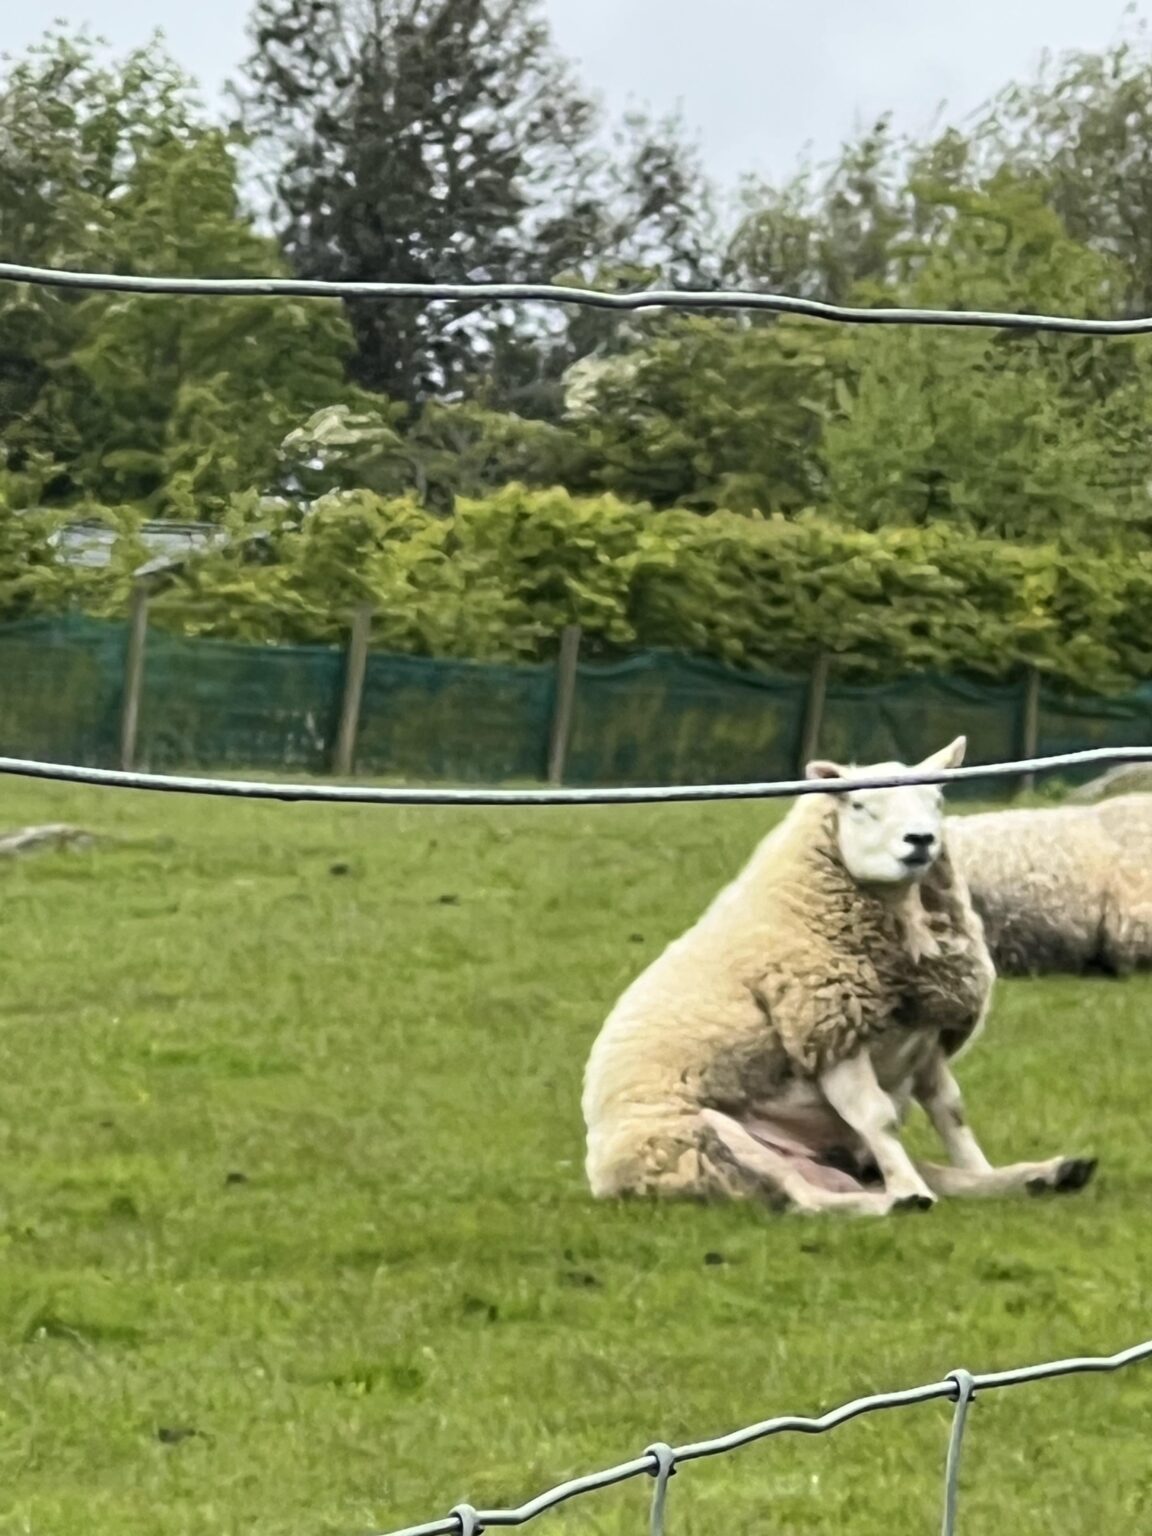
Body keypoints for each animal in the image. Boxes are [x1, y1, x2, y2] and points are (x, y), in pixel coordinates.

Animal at [582, 736, 1096, 1217]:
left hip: (834, 1155)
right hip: (711, 1139)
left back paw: (1045, 1175)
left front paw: (983, 1170)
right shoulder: (828, 1033)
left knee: (885, 1179)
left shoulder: (926, 1039)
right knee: (807, 1199)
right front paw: (911, 1189)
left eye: (937, 799)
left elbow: (952, 1112)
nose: (921, 840)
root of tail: (603, 1175)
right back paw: (902, 1200)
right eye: (861, 805)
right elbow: (878, 1118)